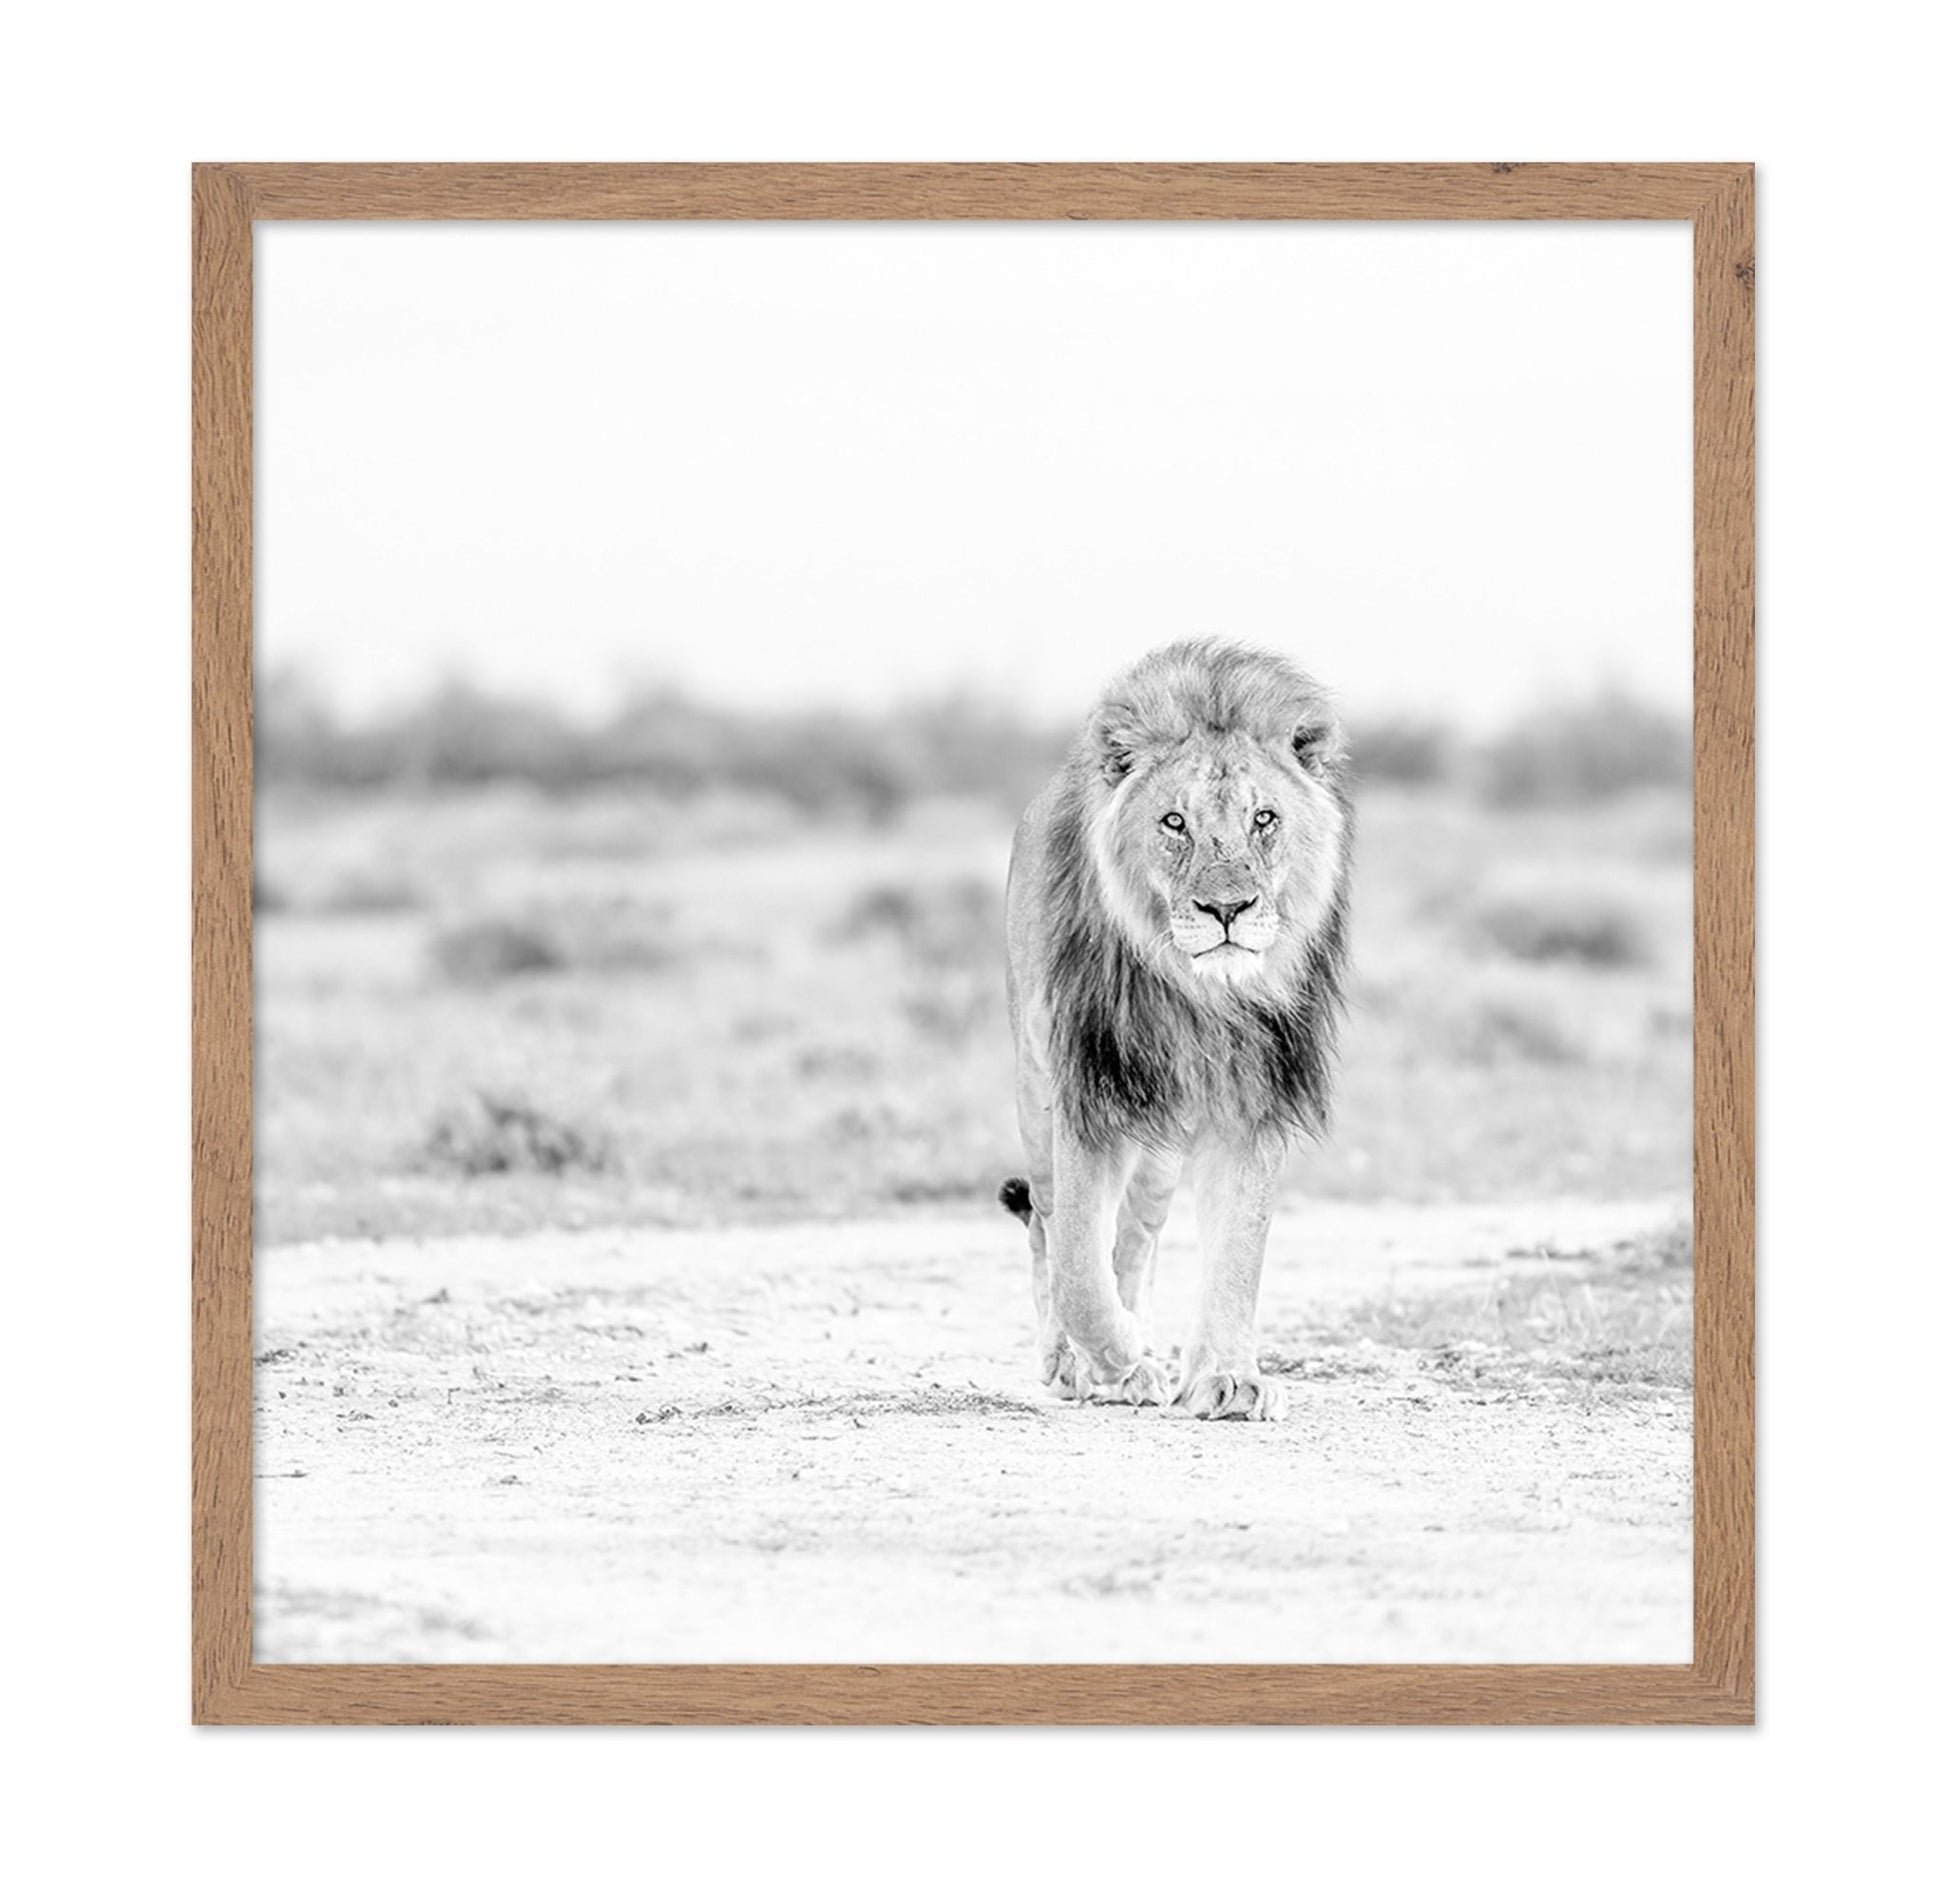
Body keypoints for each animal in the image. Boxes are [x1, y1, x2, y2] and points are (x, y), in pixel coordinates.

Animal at [1000, 638, 1352, 1421]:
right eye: (1173, 822)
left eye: (1264, 818)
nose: (1228, 908)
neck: (1197, 996)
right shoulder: (1088, 1093)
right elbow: (1077, 1270)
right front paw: (1117, 1358)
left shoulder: (1252, 1101)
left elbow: (1237, 1253)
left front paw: (1227, 1377)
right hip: (1038, 1097)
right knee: (1047, 1223)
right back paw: (1078, 1362)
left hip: (1160, 1148)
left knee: (1136, 1239)